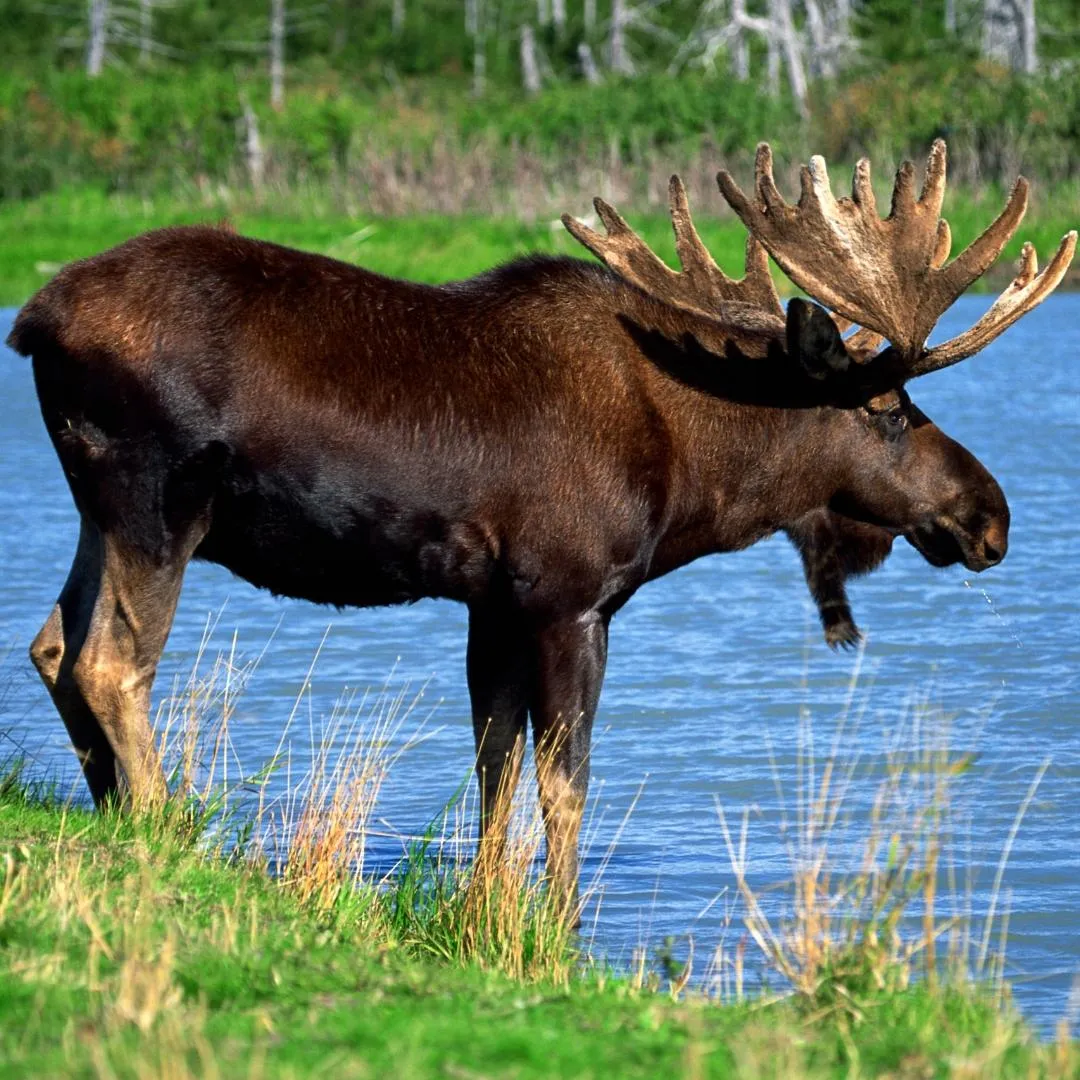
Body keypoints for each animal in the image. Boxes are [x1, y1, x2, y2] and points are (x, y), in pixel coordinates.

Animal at [8, 139, 1071, 907]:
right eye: (889, 410)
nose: (991, 516)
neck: (698, 473)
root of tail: (31, 319)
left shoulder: (495, 603)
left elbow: (496, 768)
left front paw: (485, 915)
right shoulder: (570, 598)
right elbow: (566, 782)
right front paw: (559, 927)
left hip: (97, 507)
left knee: (53, 642)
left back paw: (114, 816)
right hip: (158, 499)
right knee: (110, 660)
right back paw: (162, 831)